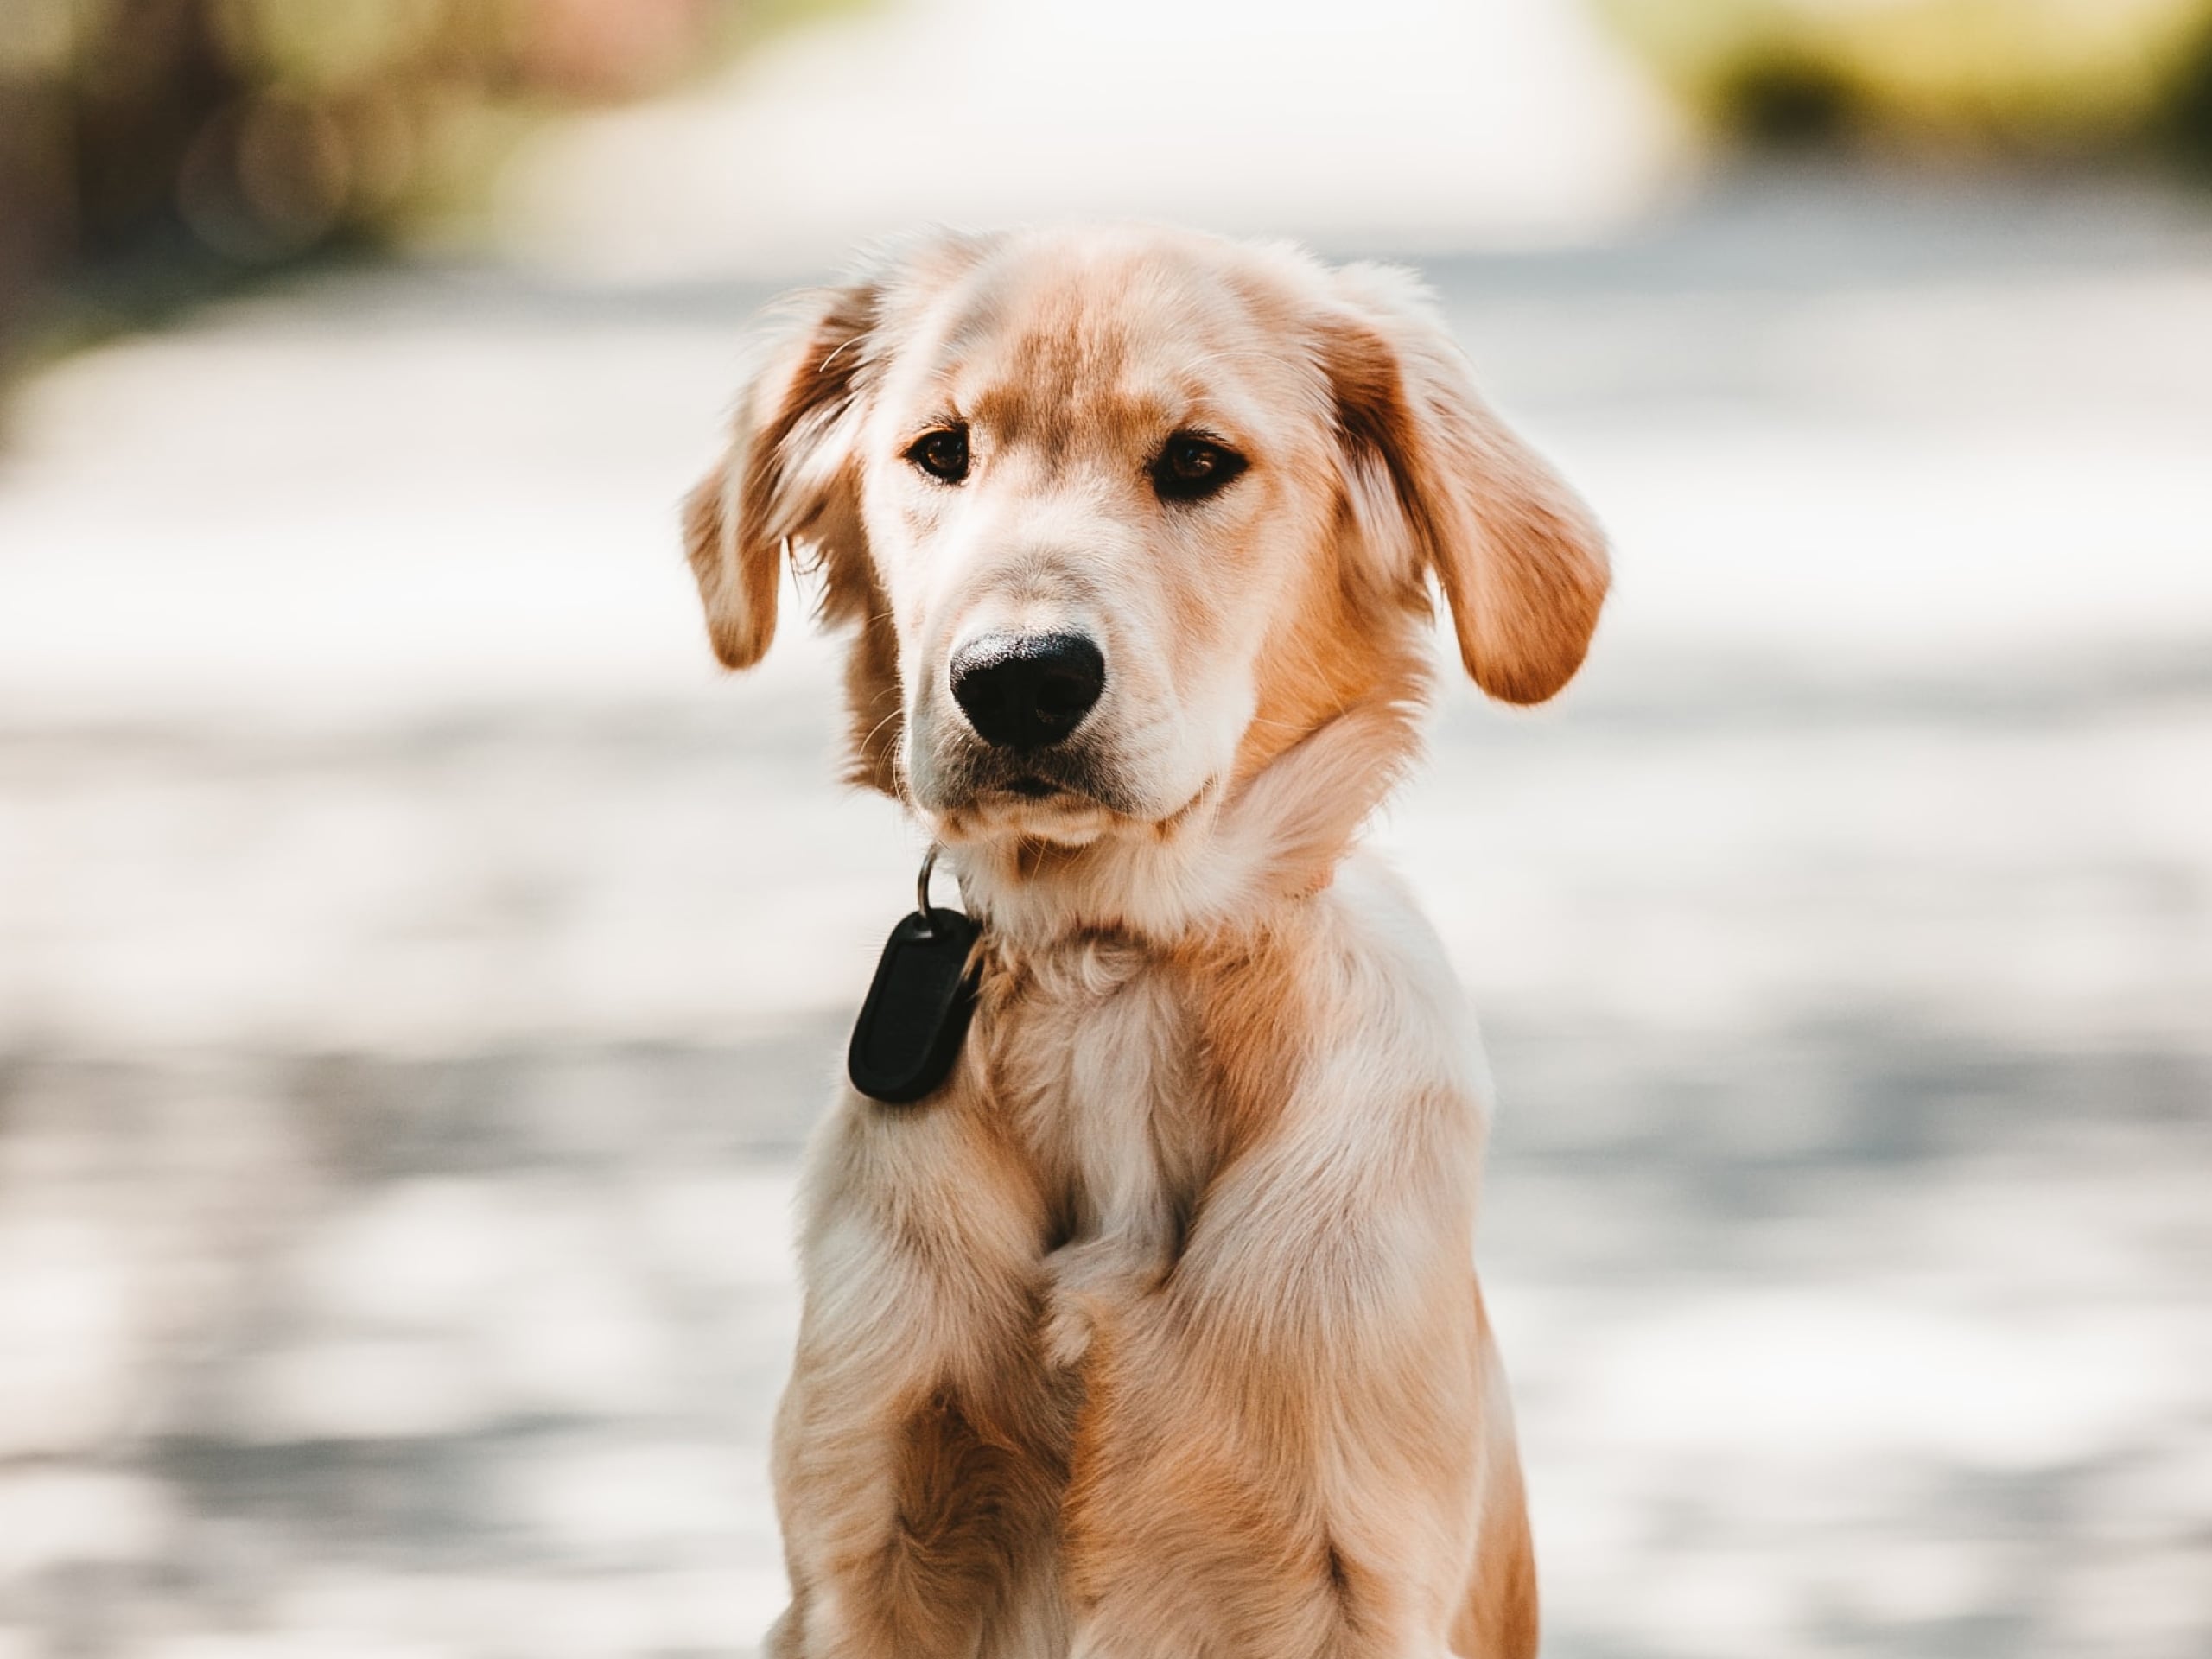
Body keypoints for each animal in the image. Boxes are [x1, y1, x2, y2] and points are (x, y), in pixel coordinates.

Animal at [681, 224, 1601, 1659]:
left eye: (1199, 462)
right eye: (940, 451)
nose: (1018, 677)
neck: (1104, 962)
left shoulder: (1365, 1563)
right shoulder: (858, 1542)